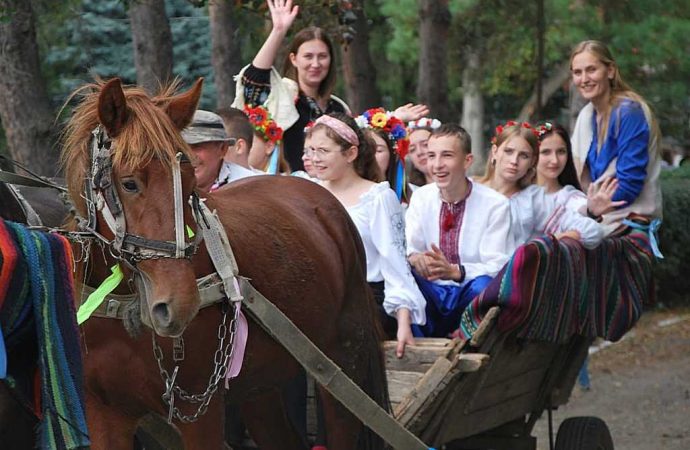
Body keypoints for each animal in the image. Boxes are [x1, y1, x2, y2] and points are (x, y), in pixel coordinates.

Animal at [60, 79, 388, 448]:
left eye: (190, 182)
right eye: (130, 183)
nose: (180, 304)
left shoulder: (200, 414)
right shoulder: (103, 413)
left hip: (345, 360)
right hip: (262, 384)